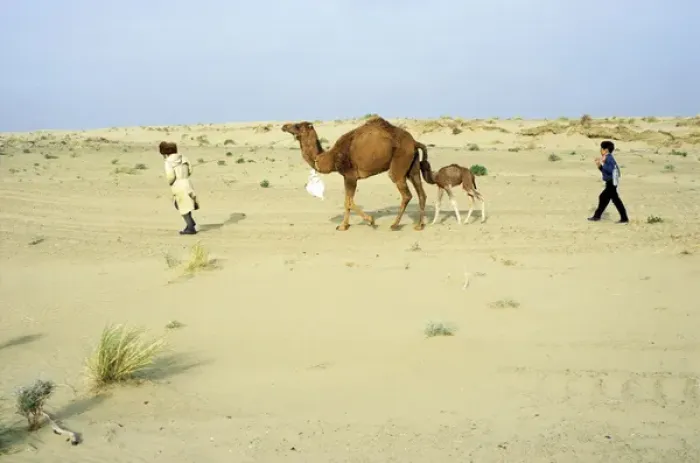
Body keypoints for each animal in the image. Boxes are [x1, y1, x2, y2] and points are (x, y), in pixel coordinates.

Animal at [281, 117, 430, 231]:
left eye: (297, 125)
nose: (284, 126)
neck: (331, 157)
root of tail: (414, 142)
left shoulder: (350, 175)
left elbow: (349, 202)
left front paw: (370, 220)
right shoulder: (346, 177)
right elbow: (346, 201)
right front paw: (343, 226)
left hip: (400, 161)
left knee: (406, 194)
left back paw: (394, 225)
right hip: (412, 166)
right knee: (421, 193)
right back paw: (419, 225)